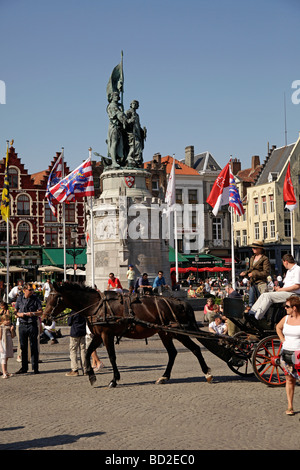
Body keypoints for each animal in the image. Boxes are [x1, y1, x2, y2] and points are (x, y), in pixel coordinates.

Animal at [43, 280, 217, 388]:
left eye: (56, 298)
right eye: (47, 297)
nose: (44, 319)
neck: (96, 306)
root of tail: (179, 301)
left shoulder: (106, 335)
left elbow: (112, 357)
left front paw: (114, 380)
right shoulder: (98, 336)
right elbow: (87, 353)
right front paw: (92, 376)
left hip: (178, 333)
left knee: (194, 349)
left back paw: (207, 374)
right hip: (165, 333)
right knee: (173, 353)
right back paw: (164, 377)